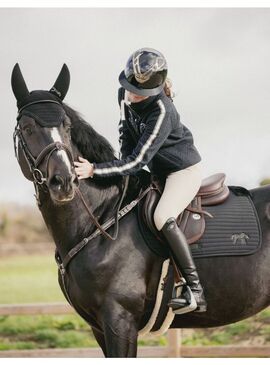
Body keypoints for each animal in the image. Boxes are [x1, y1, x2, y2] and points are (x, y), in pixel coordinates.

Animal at [11, 64, 270, 356]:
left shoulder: (119, 319)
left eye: (66, 127)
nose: (64, 181)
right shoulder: (98, 327)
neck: (101, 219)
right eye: (27, 127)